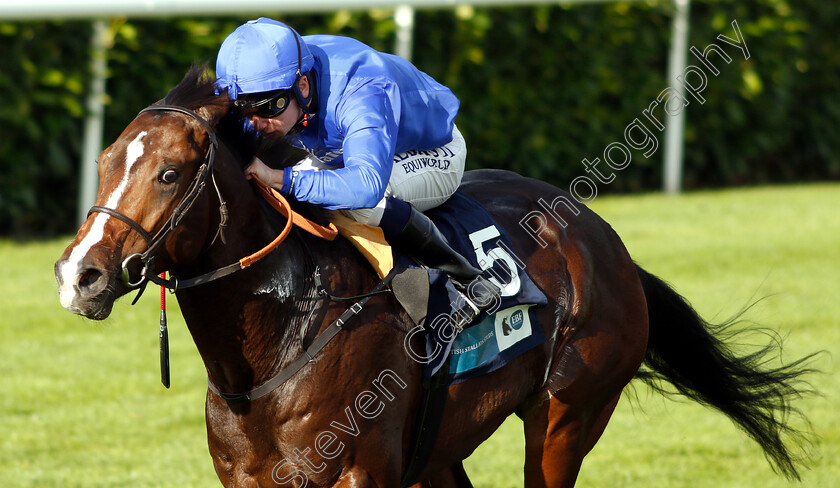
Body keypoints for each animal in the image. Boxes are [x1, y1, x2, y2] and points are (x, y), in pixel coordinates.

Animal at [54, 68, 812, 488]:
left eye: (169, 172)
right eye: (105, 160)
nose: (79, 275)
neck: (283, 334)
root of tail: (606, 241)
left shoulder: (358, 472)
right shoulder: (251, 477)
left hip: (569, 414)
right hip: (440, 448)